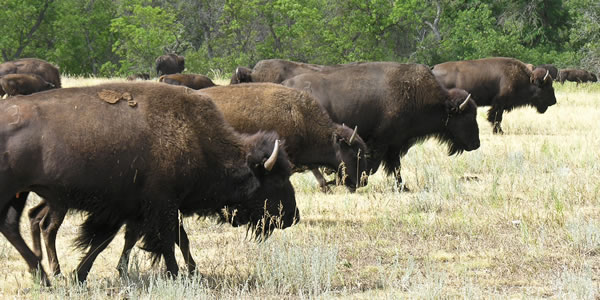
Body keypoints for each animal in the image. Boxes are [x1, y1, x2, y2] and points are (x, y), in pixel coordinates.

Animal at [284, 61, 480, 189]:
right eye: (466, 117)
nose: (476, 144)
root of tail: (287, 83)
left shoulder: (394, 145)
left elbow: (395, 167)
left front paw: (402, 187)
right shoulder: (382, 142)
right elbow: (376, 166)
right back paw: (326, 183)